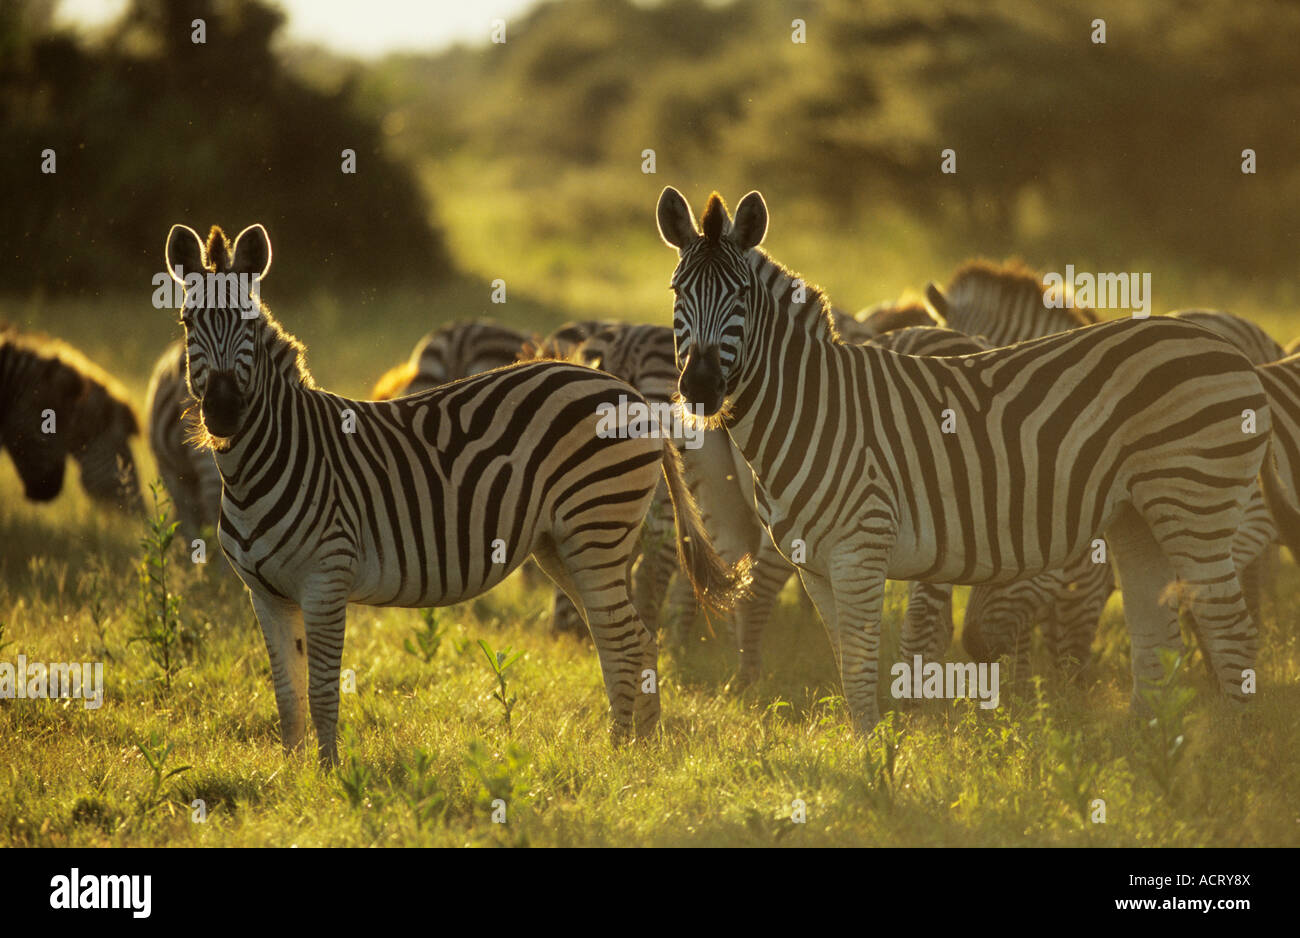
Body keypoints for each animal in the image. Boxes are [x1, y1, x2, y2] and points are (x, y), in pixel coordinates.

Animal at [163, 222, 746, 765]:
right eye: (187, 323)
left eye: (246, 323)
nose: (222, 412)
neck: (261, 463)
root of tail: (630, 394)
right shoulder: (265, 594)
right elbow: (287, 696)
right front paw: (292, 775)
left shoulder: (326, 580)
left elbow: (323, 692)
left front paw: (327, 775)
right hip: (566, 545)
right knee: (628, 639)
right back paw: (639, 749)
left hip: (594, 530)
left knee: (626, 639)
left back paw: (620, 755)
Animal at [658, 187, 1269, 732]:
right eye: (676, 291)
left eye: (740, 296)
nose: (700, 387)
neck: (814, 407)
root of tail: (1234, 355)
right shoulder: (816, 566)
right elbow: (846, 665)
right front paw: (867, 754)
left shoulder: (860, 551)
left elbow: (862, 667)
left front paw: (880, 764)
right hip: (1137, 518)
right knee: (1157, 634)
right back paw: (1150, 752)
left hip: (1194, 506)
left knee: (1231, 630)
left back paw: (1229, 752)